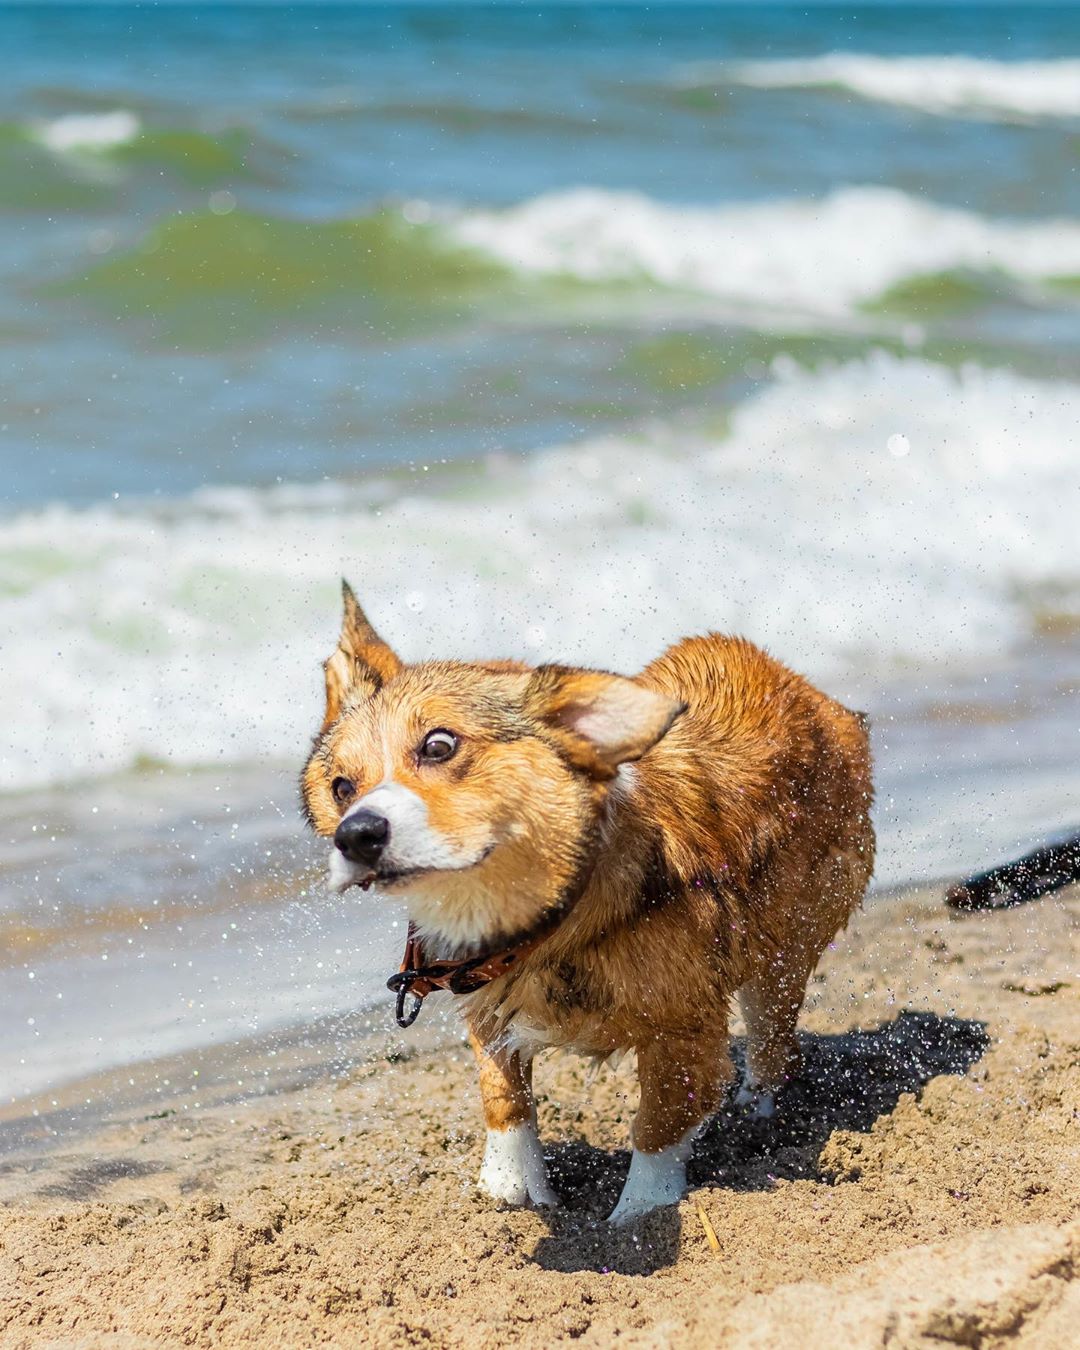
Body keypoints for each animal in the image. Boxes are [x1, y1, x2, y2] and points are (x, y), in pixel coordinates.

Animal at [299, 583, 874, 1225]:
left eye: (439, 745)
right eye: (341, 787)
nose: (356, 835)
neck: (547, 919)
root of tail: (809, 693)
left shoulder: (683, 1024)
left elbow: (658, 1124)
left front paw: (638, 1214)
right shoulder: (486, 1003)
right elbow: (503, 1096)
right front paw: (509, 1187)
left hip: (783, 949)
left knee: (776, 1044)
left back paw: (756, 1109)